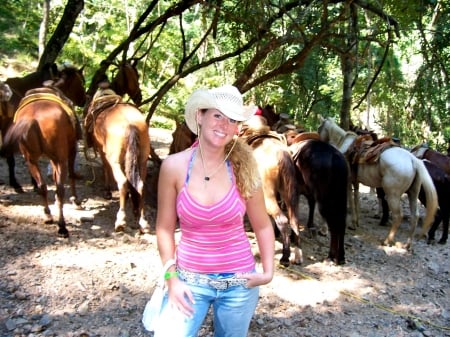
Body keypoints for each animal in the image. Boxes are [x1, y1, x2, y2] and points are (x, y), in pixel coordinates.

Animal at [0, 84, 81, 236]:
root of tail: (33, 119)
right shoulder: (71, 150)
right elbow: (71, 175)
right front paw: (76, 200)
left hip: (31, 160)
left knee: (42, 186)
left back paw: (48, 215)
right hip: (60, 159)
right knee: (60, 188)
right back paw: (62, 225)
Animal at [85, 86, 152, 234]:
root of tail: (130, 124)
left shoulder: (103, 152)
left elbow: (105, 168)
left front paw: (107, 191)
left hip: (114, 160)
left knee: (122, 182)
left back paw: (120, 220)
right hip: (142, 161)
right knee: (141, 185)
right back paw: (143, 221)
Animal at [239, 126, 302, 266]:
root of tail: (281, 155)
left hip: (267, 197)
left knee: (282, 219)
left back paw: (285, 257)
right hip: (289, 195)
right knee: (294, 221)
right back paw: (297, 256)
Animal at [290, 137, 350, 266]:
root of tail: (335, 157)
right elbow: (310, 206)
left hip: (326, 201)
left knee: (334, 225)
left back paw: (331, 256)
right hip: (340, 198)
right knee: (341, 223)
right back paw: (341, 257)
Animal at [316, 117, 436, 248]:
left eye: (319, 128)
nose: (318, 141)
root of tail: (413, 159)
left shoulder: (347, 181)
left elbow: (351, 200)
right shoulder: (355, 182)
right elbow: (356, 199)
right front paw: (356, 222)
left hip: (392, 194)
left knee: (398, 216)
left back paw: (387, 240)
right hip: (413, 193)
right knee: (415, 216)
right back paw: (407, 245)